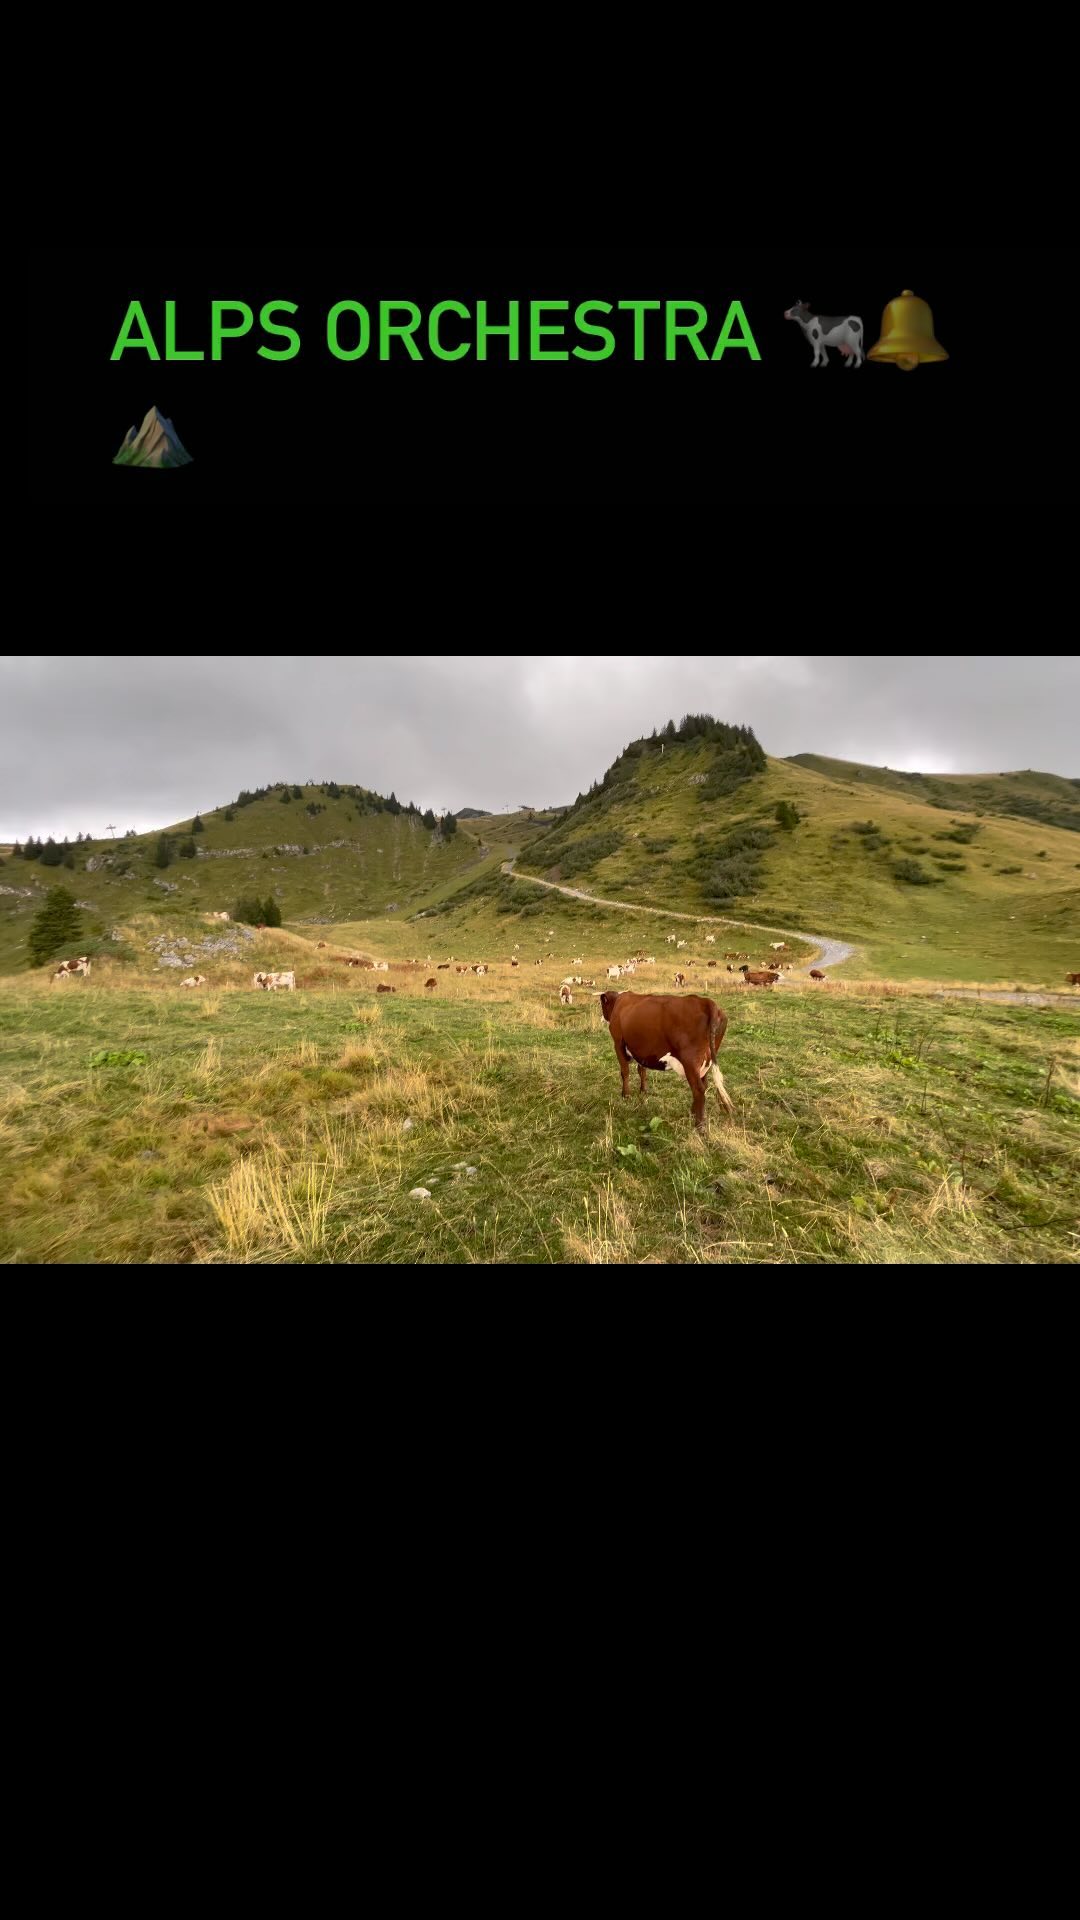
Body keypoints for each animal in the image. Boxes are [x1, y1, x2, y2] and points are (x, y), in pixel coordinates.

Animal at [600, 989, 735, 1133]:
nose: (602, 1017)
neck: (619, 1002)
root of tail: (705, 1001)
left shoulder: (618, 1043)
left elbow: (625, 1071)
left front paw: (626, 1095)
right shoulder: (641, 1051)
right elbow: (642, 1070)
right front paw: (643, 1091)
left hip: (690, 1061)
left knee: (698, 1089)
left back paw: (699, 1126)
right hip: (706, 1061)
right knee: (704, 1084)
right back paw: (693, 1113)